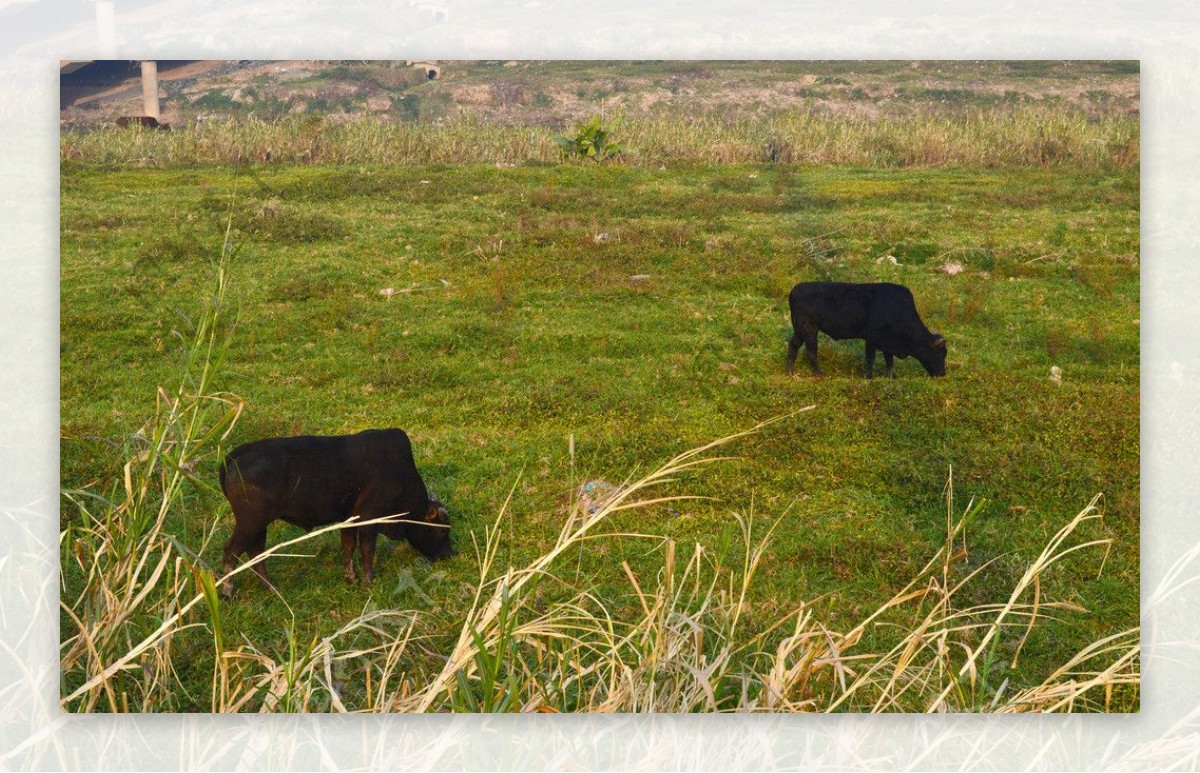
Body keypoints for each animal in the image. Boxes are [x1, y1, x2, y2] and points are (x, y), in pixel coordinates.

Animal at [787, 283, 945, 379]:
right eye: (938, 353)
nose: (942, 374)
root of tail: (794, 290)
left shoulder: (887, 343)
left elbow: (889, 360)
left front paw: (891, 377)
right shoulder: (872, 338)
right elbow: (870, 358)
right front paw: (869, 377)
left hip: (800, 330)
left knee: (793, 345)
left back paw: (790, 372)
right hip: (809, 329)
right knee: (811, 351)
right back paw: (819, 375)